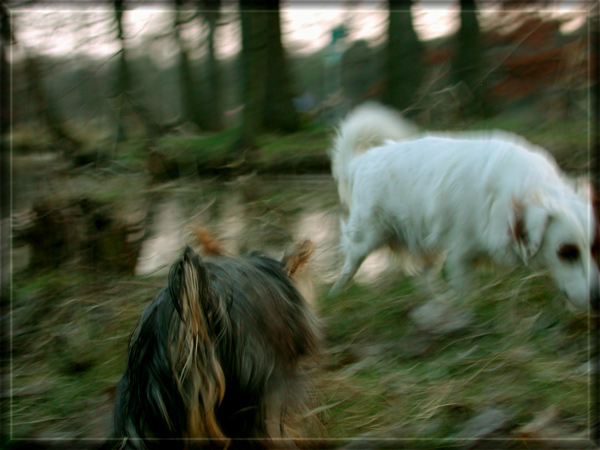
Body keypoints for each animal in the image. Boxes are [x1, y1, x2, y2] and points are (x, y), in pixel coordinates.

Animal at [330, 103, 596, 312]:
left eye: (595, 248)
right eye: (566, 252)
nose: (597, 298)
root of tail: (361, 162)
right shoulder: (460, 255)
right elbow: (465, 293)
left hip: (427, 244)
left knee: (423, 278)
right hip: (368, 236)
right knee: (350, 265)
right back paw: (337, 293)